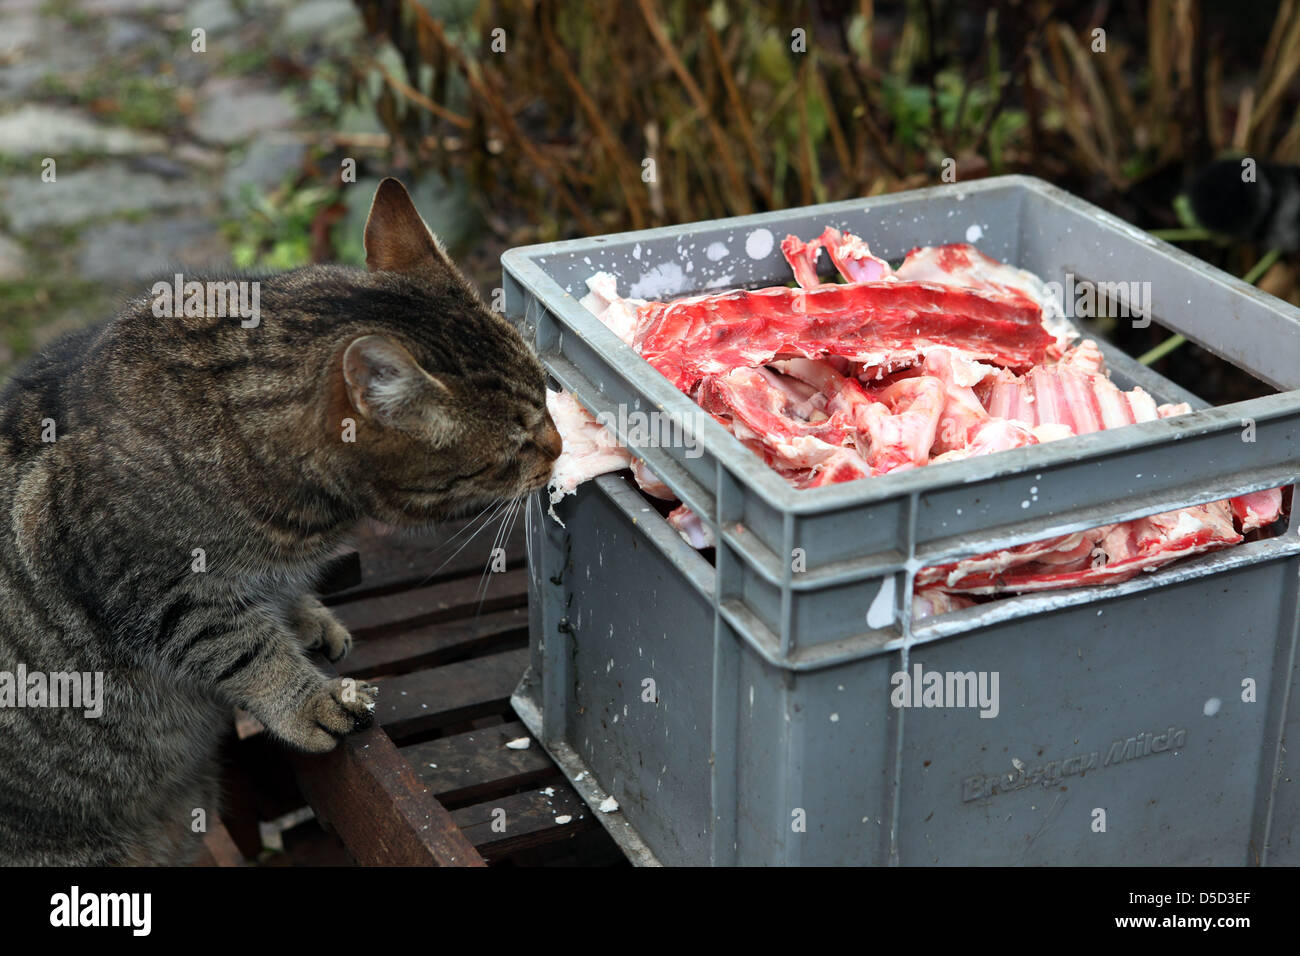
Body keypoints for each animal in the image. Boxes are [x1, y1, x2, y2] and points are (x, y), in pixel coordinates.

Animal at [0, 179, 556, 868]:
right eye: (516, 446)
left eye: (549, 392)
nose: (561, 445)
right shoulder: (148, 584)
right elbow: (239, 644)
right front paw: (307, 698)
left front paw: (305, 617)